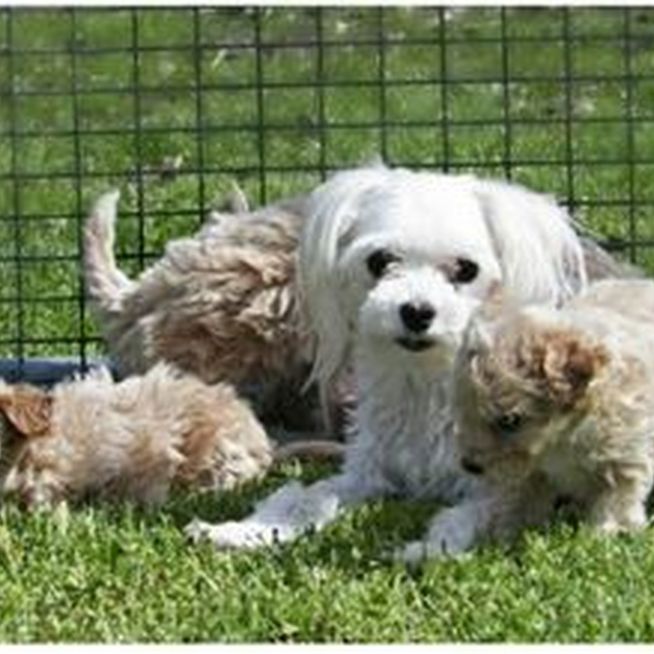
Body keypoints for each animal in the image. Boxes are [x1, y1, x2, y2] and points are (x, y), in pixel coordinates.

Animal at [188, 165, 600, 552]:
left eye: (466, 269)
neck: (425, 384)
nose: (417, 311)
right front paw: (243, 531)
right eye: (380, 261)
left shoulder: (501, 480)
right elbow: (308, 499)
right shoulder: (367, 473)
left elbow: (470, 516)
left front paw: (428, 549)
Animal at [400, 280, 654, 564]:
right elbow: (509, 512)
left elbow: (614, 507)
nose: (469, 466)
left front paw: (601, 541)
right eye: (463, 409)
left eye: (510, 421)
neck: (561, 439)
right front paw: (432, 549)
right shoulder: (526, 477)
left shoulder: (623, 461)